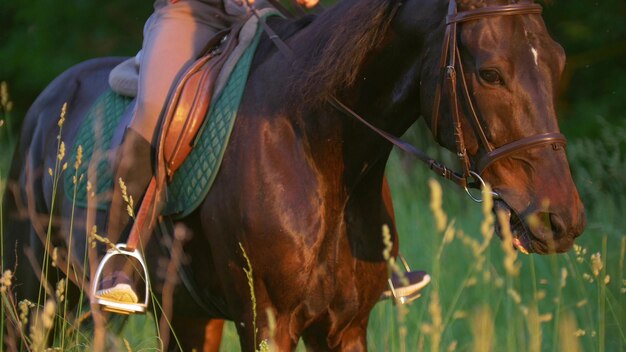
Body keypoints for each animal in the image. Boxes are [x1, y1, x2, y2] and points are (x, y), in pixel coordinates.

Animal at [2, 0, 584, 350]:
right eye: (490, 72)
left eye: (558, 62)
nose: (562, 220)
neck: (312, 145)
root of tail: (48, 102)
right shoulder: (267, 323)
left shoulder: (345, 327)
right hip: (37, 296)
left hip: (177, 316)